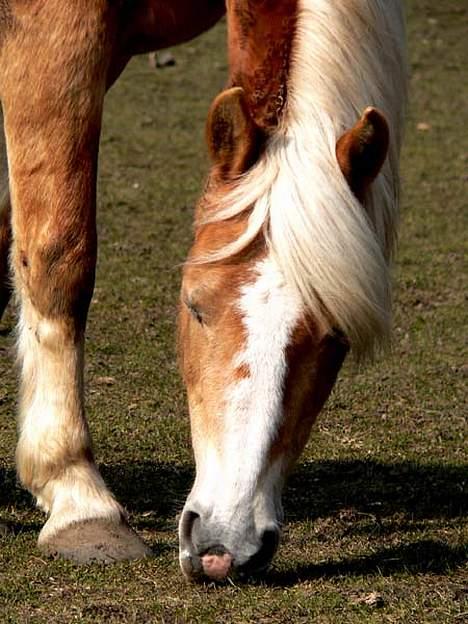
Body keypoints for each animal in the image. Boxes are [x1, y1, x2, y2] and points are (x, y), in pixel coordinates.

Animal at [0, 0, 406, 584]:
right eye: (194, 306)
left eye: (336, 339)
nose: (222, 547)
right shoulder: (58, 30)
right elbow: (59, 255)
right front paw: (79, 499)